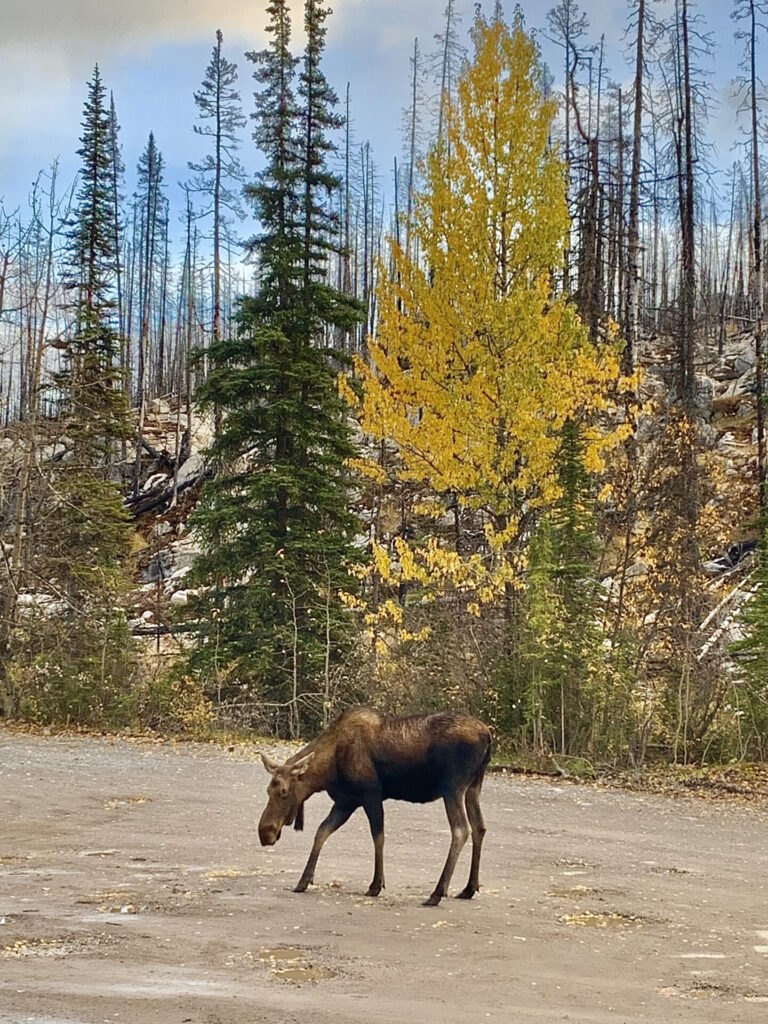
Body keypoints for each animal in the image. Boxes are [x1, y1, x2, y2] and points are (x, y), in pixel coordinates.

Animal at [257, 712, 487, 905]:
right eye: (267, 789)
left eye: (284, 791)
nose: (265, 832)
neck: (328, 770)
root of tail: (488, 735)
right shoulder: (346, 801)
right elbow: (322, 831)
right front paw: (303, 881)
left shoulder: (371, 795)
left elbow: (378, 836)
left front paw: (376, 884)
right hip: (473, 786)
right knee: (479, 827)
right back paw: (469, 888)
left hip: (452, 787)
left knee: (461, 829)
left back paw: (437, 893)